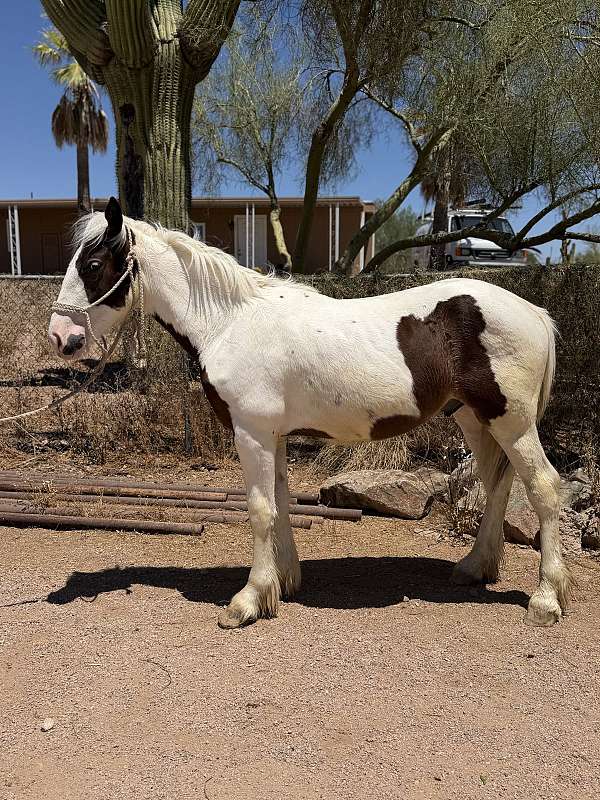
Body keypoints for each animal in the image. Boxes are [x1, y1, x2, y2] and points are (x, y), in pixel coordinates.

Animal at [48, 197, 573, 629]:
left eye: (92, 264)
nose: (60, 337)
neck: (230, 322)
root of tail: (534, 311)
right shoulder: (273, 436)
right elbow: (280, 503)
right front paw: (282, 583)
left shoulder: (252, 433)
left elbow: (260, 509)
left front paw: (247, 601)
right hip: (475, 419)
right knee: (497, 484)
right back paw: (475, 566)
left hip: (512, 422)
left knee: (544, 489)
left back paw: (546, 598)